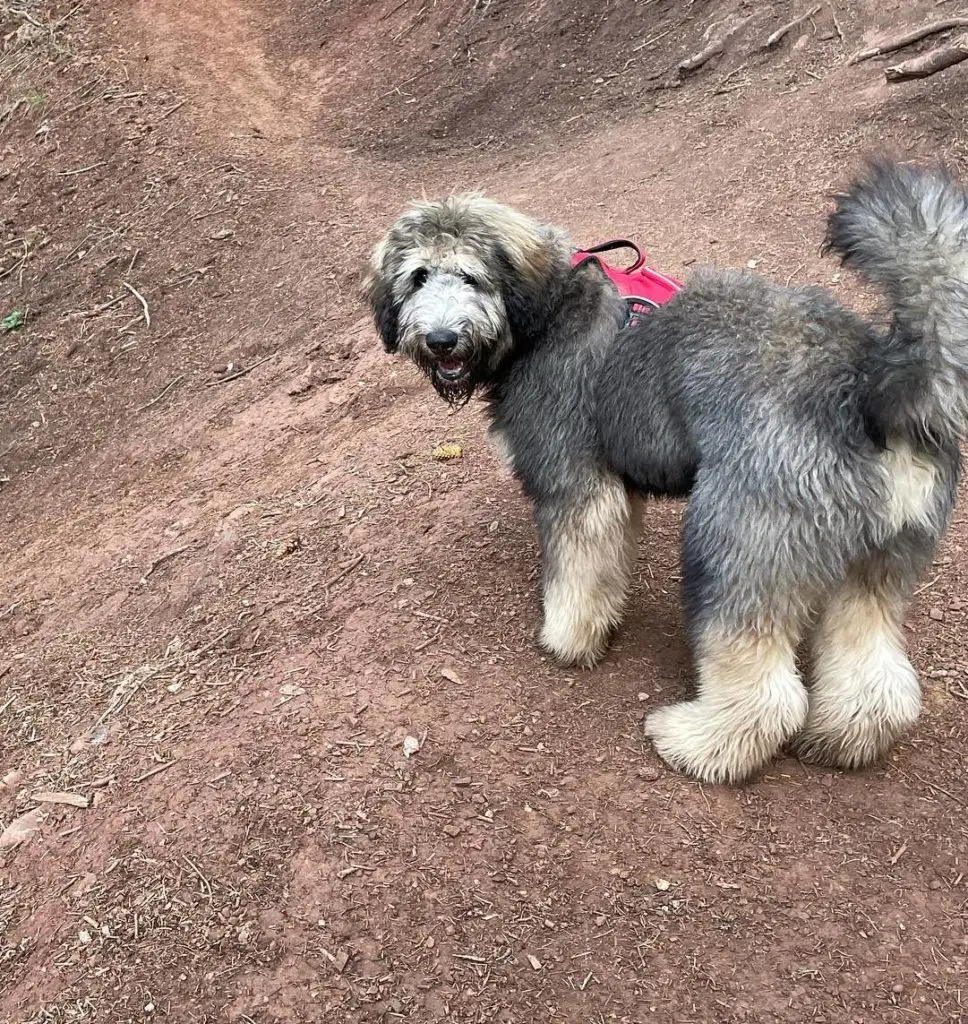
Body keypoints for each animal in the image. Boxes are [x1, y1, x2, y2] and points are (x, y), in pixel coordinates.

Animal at [360, 159, 966, 782]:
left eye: (471, 276)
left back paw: (694, 745)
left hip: (730, 547)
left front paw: (567, 639)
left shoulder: (575, 487)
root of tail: (871, 386)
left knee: (765, 695)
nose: (441, 340)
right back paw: (840, 743)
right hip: (878, 566)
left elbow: (576, 574)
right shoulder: (614, 490)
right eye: (417, 278)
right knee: (875, 680)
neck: (547, 312)